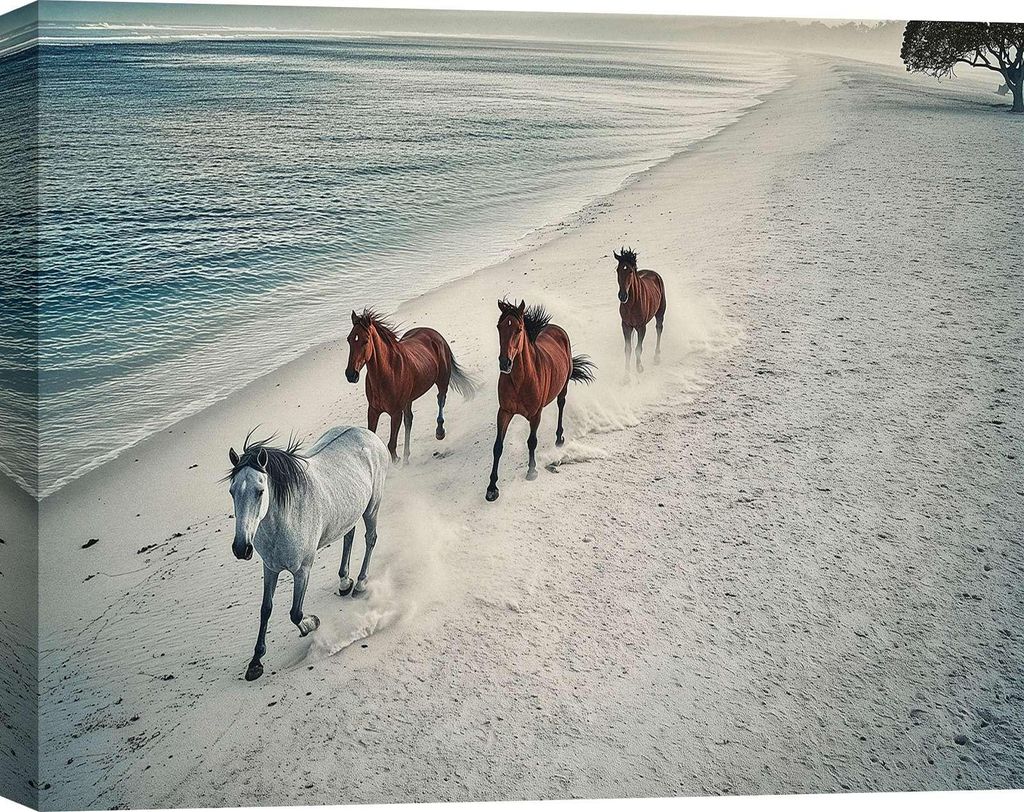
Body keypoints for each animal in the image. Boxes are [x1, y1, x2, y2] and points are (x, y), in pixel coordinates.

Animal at [226, 426, 389, 681]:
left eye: (260, 491)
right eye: (232, 491)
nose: (241, 548)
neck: (285, 518)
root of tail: (366, 432)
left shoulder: (302, 570)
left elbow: (295, 612)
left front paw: (311, 624)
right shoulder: (270, 568)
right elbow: (265, 609)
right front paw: (255, 662)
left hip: (372, 506)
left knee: (370, 539)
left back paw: (361, 583)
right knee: (349, 535)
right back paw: (344, 582)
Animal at [345, 309, 478, 464]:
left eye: (365, 341)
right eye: (349, 339)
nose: (351, 374)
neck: (387, 373)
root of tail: (435, 335)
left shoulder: (396, 413)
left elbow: (392, 445)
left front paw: (396, 461)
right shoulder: (373, 410)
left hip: (442, 381)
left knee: (441, 399)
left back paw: (439, 432)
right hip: (409, 399)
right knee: (409, 420)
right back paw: (406, 458)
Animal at [486, 299, 596, 502]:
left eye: (519, 329)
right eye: (499, 327)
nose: (505, 363)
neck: (521, 380)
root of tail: (556, 328)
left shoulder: (536, 414)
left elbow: (532, 441)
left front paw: (532, 471)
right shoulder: (504, 412)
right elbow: (498, 446)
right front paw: (492, 488)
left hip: (563, 387)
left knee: (561, 404)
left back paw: (559, 438)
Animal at [614, 247, 666, 379]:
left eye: (630, 271)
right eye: (617, 270)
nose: (622, 296)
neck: (632, 304)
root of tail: (653, 273)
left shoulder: (641, 327)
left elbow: (638, 348)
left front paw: (639, 368)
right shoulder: (626, 326)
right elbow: (628, 349)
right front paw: (626, 375)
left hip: (660, 312)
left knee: (659, 329)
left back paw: (657, 357)